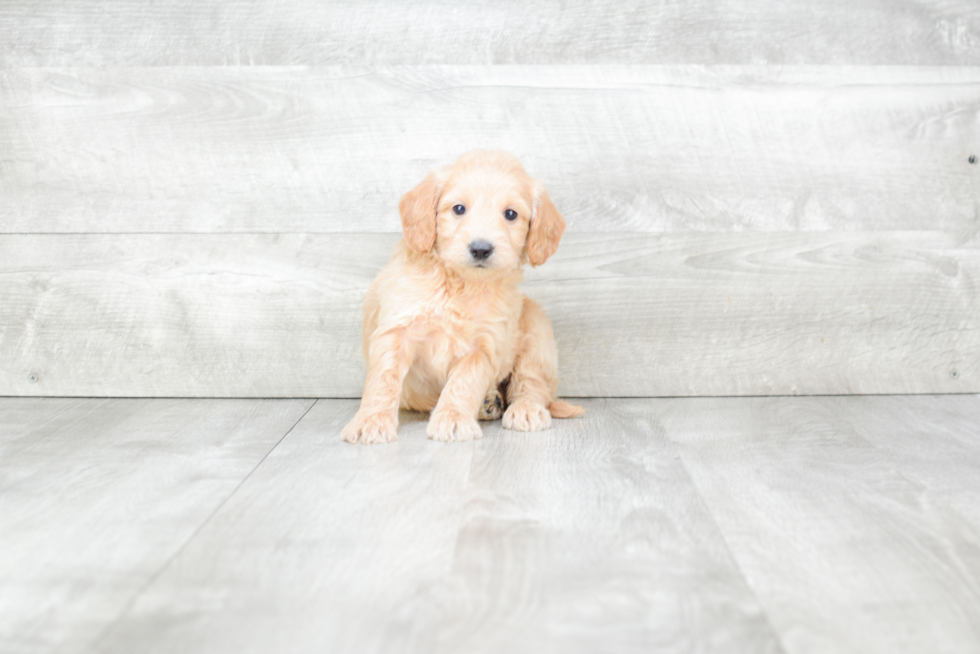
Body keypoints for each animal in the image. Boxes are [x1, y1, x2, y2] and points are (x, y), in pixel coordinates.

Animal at [342, 150, 580, 446]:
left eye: (510, 214)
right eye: (458, 209)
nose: (480, 249)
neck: (461, 284)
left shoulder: (484, 345)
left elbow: (463, 383)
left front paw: (453, 419)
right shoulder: (397, 330)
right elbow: (383, 379)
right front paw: (371, 420)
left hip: (536, 326)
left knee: (532, 382)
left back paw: (524, 409)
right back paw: (490, 404)